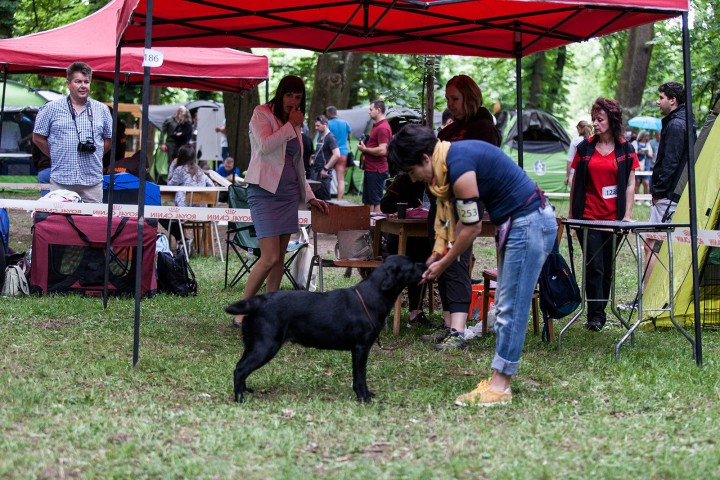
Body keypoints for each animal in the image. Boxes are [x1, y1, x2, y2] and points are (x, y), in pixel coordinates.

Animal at [225, 255, 426, 403]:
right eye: (412, 264)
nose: (426, 265)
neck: (372, 296)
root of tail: (260, 300)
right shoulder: (361, 348)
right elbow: (360, 376)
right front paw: (364, 397)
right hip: (266, 345)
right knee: (240, 369)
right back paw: (240, 398)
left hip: (254, 344)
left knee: (240, 367)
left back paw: (246, 391)